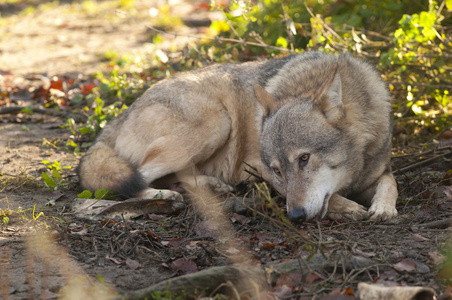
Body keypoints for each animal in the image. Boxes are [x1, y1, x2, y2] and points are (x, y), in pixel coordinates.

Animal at [79, 51, 398, 223]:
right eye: (278, 170)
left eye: (304, 159)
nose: (294, 217)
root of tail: (121, 114)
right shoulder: (259, 169)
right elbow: (332, 199)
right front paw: (351, 208)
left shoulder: (377, 172)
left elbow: (390, 184)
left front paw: (383, 208)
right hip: (216, 123)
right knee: (136, 177)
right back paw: (164, 196)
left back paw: (211, 185)